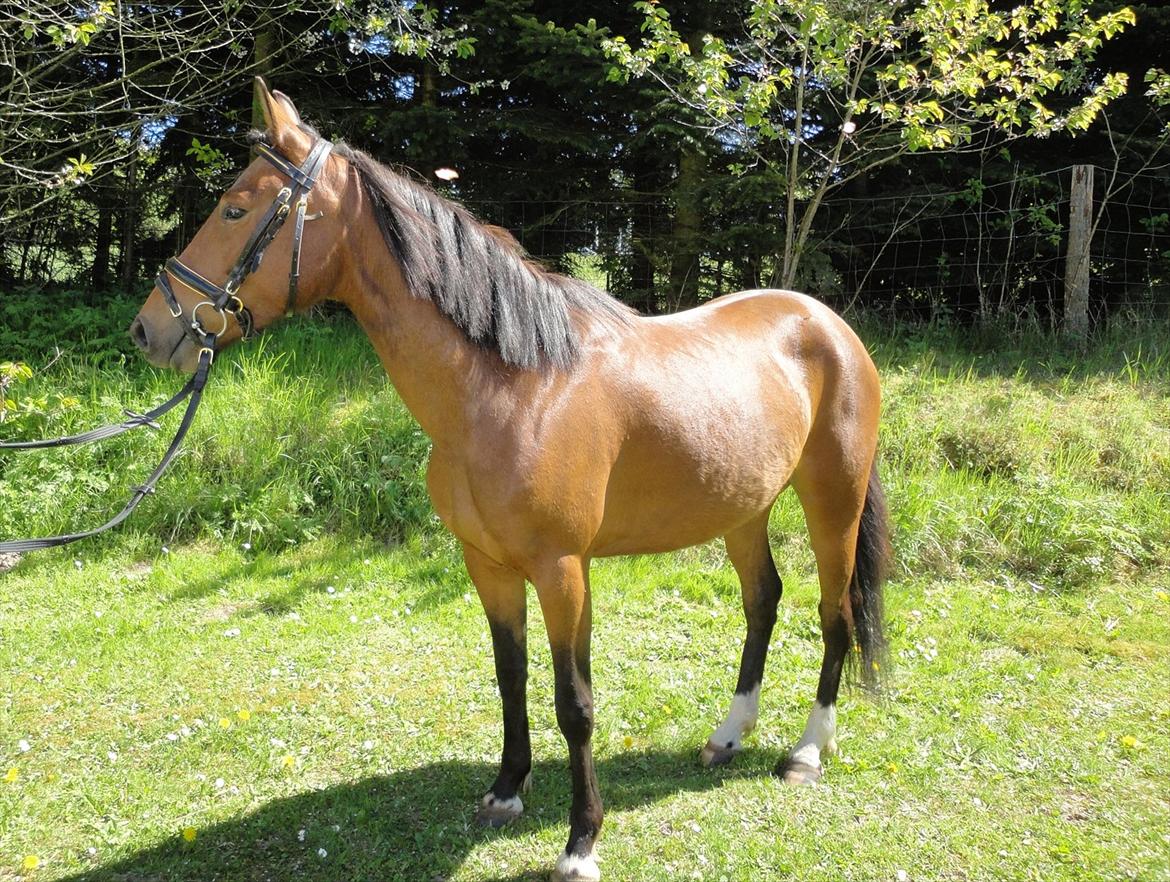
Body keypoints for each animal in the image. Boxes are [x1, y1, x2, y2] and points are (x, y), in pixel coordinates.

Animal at [129, 79, 891, 882]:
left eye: (235, 208)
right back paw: (727, 735)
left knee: (834, 613)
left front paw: (581, 841)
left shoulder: (562, 570)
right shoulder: (489, 566)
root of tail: (828, 324)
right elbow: (511, 676)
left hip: (832, 501)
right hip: (744, 509)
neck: (513, 387)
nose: (150, 329)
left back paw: (806, 752)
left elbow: (573, 701)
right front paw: (506, 791)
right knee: (762, 602)